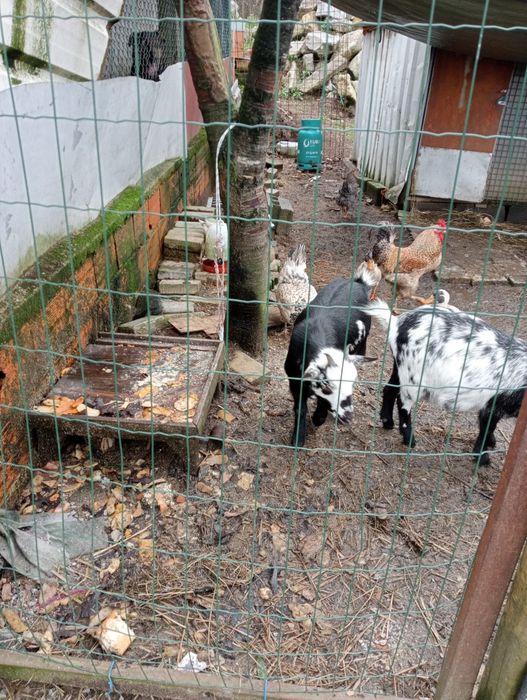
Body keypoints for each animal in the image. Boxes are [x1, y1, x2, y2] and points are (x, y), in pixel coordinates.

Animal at [284, 260, 381, 447]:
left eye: (352, 383)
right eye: (328, 387)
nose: (348, 417)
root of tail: (359, 282)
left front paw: (318, 418)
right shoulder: (294, 378)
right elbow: (300, 407)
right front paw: (298, 438)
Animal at [366, 299, 527, 465]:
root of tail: (396, 323)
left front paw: (491, 443)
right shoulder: (494, 403)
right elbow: (487, 427)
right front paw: (483, 458)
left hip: (400, 367)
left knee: (389, 388)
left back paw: (387, 422)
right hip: (413, 377)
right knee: (403, 402)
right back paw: (409, 439)